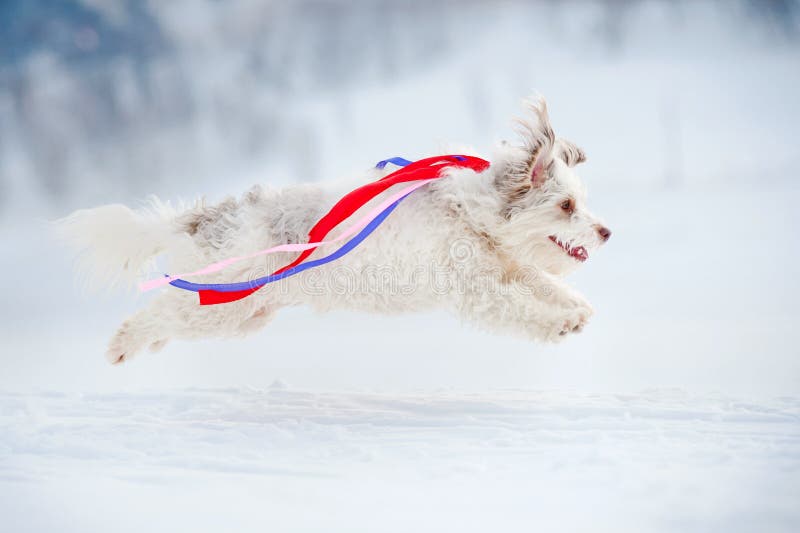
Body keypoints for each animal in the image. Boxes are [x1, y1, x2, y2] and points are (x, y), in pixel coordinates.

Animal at [57, 94, 612, 362]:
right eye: (565, 205)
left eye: (580, 202)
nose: (606, 233)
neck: (467, 214)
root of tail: (211, 216)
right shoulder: (477, 292)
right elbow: (520, 309)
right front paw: (560, 324)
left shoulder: (505, 268)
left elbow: (544, 283)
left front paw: (578, 309)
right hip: (222, 302)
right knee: (158, 312)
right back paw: (121, 345)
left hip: (241, 315)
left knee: (169, 316)